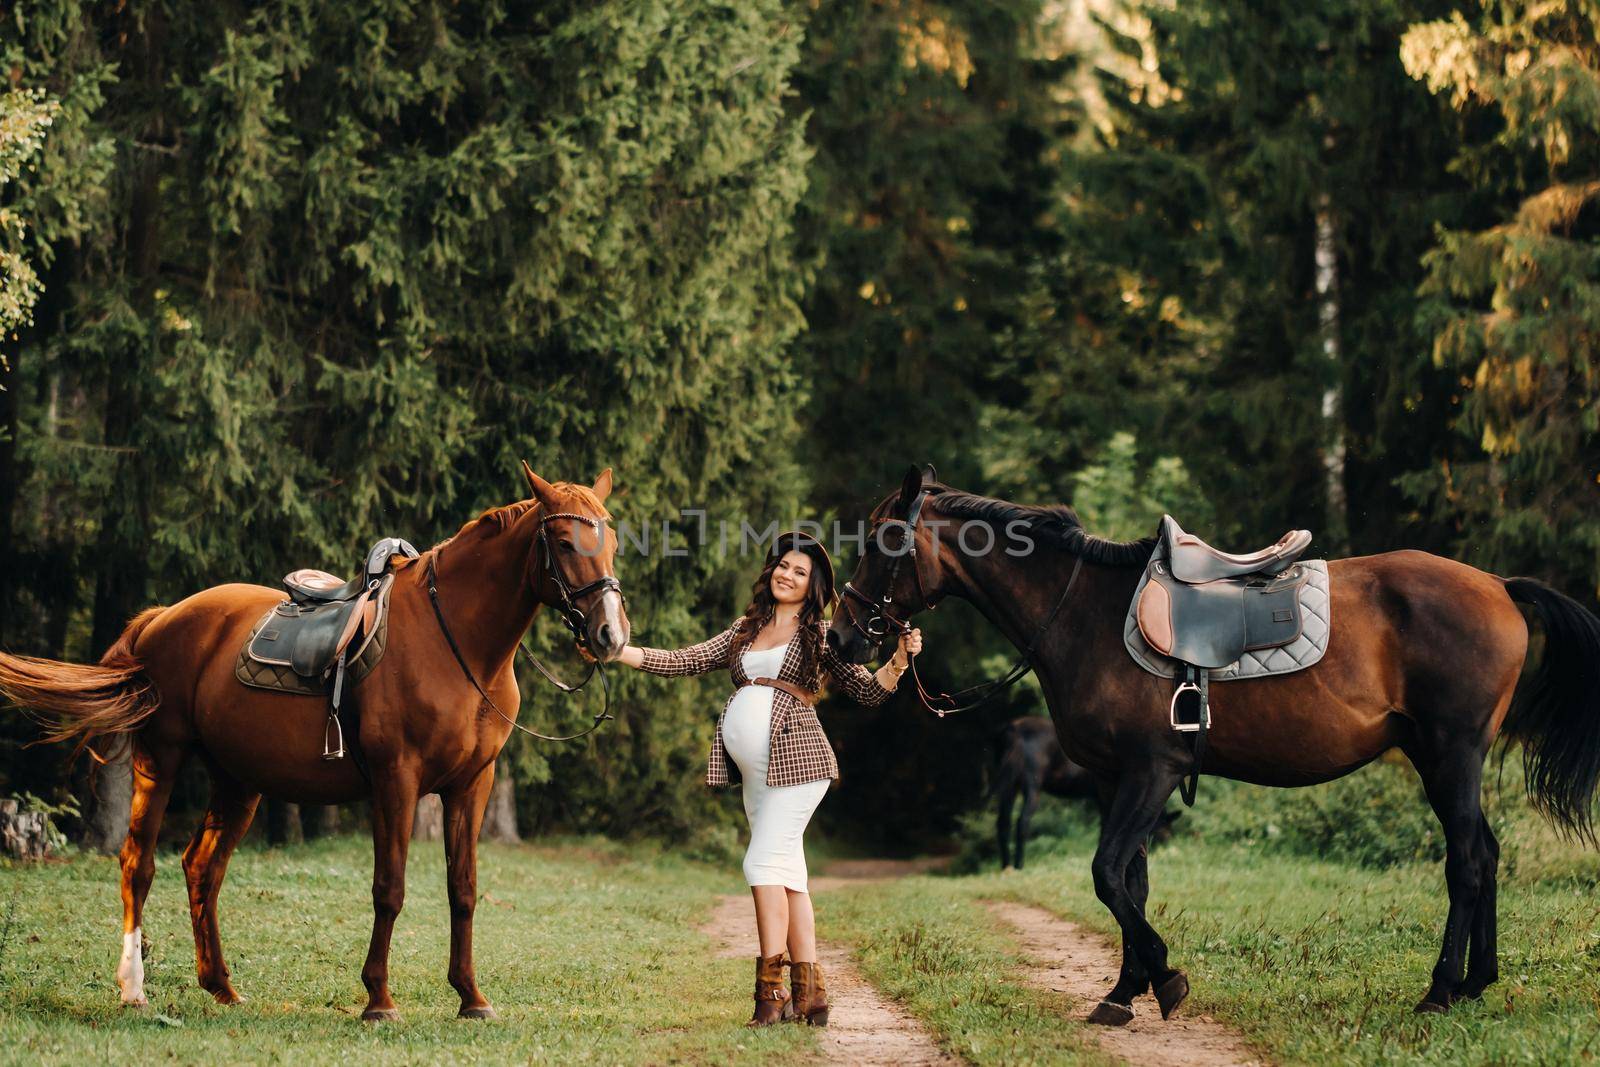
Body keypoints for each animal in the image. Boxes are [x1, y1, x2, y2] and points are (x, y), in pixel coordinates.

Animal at [0, 463, 630, 1023]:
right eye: (565, 543)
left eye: (614, 543)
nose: (610, 634)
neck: (457, 644)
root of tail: (162, 618)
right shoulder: (396, 781)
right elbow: (390, 888)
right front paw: (378, 1001)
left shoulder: (471, 786)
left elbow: (464, 890)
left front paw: (471, 998)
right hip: (161, 758)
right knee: (138, 862)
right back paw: (134, 990)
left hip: (238, 781)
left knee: (202, 868)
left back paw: (221, 986)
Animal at [825, 467, 1600, 1023]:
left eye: (881, 540)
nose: (840, 636)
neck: (1083, 615)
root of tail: (1498, 584)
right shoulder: (1115, 778)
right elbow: (1130, 878)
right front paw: (1124, 990)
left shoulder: (1154, 770)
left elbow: (1107, 874)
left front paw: (1165, 977)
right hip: (1442, 759)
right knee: (1487, 854)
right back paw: (1477, 982)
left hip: (1449, 753)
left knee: (1467, 861)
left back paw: (1440, 990)